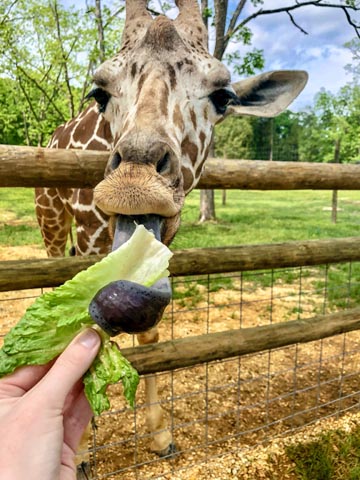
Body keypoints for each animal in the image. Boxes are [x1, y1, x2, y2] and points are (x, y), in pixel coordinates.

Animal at [35, 0, 308, 466]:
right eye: (100, 92)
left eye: (222, 96)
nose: (135, 182)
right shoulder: (90, 233)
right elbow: (89, 328)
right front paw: (82, 445)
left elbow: (150, 335)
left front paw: (160, 436)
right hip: (50, 217)